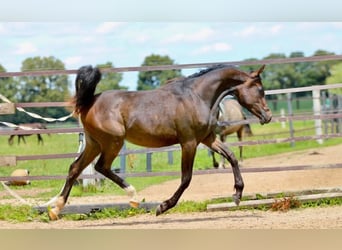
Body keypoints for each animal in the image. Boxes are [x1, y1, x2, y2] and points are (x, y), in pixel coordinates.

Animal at [46, 63, 272, 220]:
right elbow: (186, 178)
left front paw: (237, 195)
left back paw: (55, 209)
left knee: (75, 168)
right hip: (112, 142)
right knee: (102, 167)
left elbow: (232, 156)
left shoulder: (208, 139)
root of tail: (88, 102)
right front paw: (162, 207)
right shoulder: (189, 142)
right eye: (260, 90)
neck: (197, 96)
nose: (268, 116)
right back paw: (134, 196)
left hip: (94, 143)